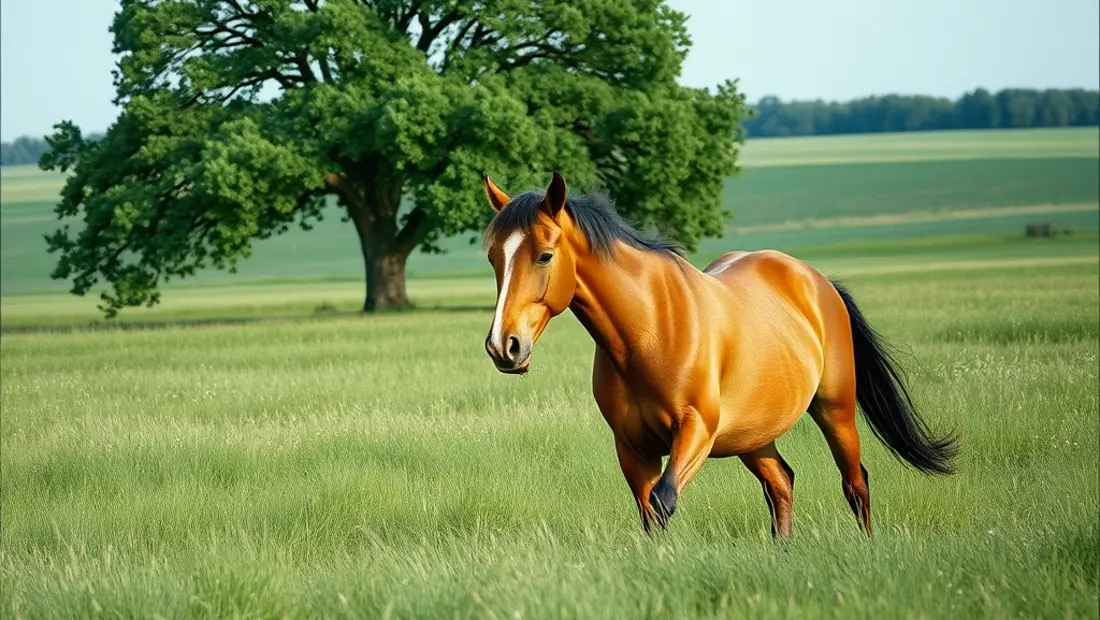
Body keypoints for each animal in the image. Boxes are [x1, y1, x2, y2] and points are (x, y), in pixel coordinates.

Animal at [480, 171, 957, 537]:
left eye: (544, 255)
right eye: (493, 258)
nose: (504, 346)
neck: (650, 330)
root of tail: (816, 281)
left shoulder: (696, 431)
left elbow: (663, 501)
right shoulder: (632, 447)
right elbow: (649, 514)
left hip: (834, 409)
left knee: (856, 484)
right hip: (754, 434)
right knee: (781, 484)